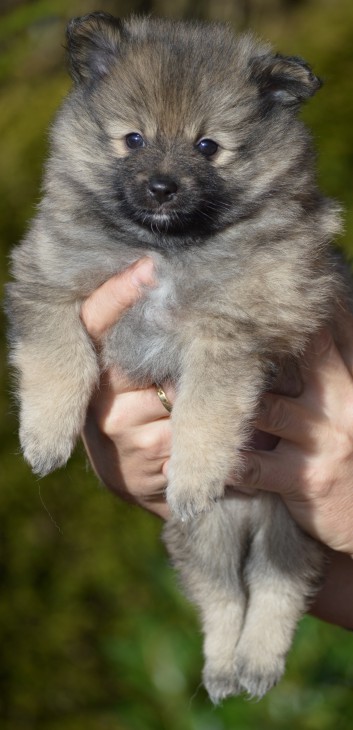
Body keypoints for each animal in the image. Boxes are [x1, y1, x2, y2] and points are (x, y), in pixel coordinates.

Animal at [6, 12, 348, 700]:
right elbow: (62, 357)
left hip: (292, 527)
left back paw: (254, 666)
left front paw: (193, 476)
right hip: (201, 541)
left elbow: (205, 413)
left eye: (207, 146)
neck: (168, 249)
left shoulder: (232, 335)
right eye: (133, 139)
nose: (162, 187)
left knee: (276, 592)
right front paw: (46, 439)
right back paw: (222, 669)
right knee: (223, 599)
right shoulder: (48, 283)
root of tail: (246, 519)